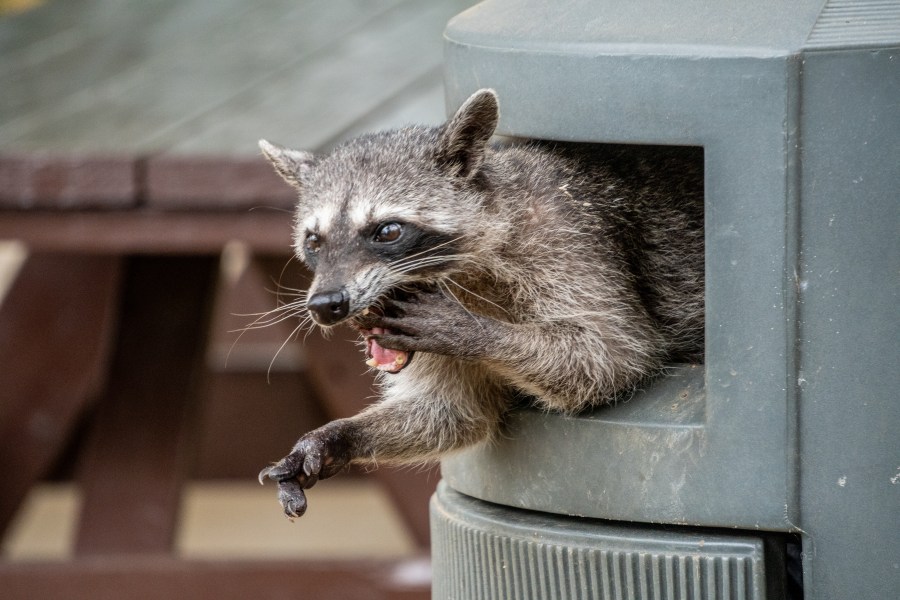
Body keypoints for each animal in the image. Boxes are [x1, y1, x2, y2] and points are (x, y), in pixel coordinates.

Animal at [257, 89, 704, 518]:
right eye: (314, 241)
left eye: (387, 231)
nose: (325, 304)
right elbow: (451, 413)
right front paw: (336, 435)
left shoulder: (567, 243)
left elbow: (611, 352)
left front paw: (473, 331)